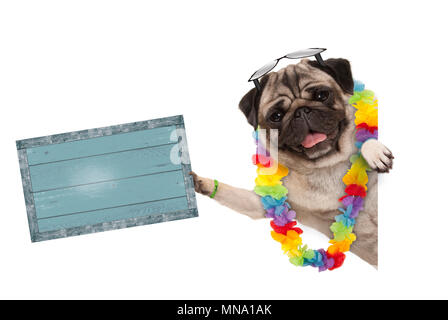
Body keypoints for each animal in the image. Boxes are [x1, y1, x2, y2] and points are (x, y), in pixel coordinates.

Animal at [192, 58, 392, 268]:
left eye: (322, 95)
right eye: (276, 116)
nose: (301, 111)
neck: (325, 166)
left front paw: (373, 150)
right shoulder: (266, 205)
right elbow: (236, 195)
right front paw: (202, 183)